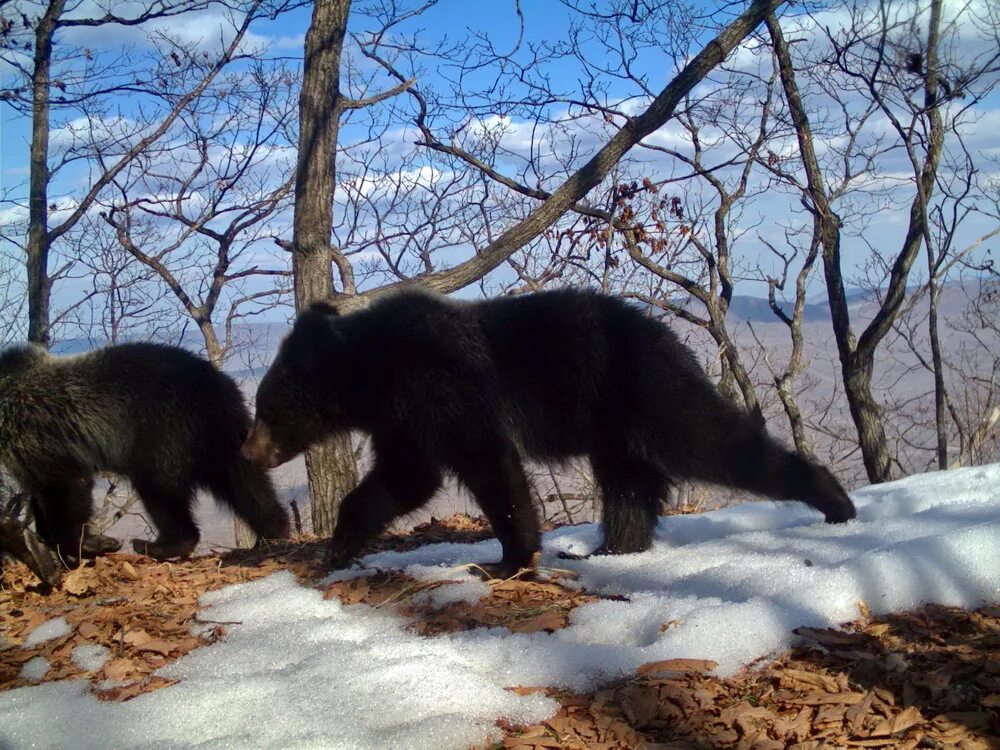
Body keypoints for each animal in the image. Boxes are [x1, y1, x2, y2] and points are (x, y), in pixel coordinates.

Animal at [0, 344, 290, 560]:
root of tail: (213, 381)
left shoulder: (38, 432)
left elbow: (66, 488)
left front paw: (88, 544)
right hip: (225, 432)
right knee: (245, 482)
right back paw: (272, 531)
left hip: (162, 431)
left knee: (159, 491)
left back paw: (155, 544)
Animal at [240, 290, 852, 580]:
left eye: (265, 409)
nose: (247, 450)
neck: (374, 369)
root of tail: (672, 338)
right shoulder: (402, 417)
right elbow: (405, 476)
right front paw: (338, 547)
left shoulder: (440, 384)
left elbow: (486, 463)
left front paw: (507, 559)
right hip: (615, 425)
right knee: (629, 485)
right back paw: (615, 547)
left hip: (644, 390)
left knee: (709, 439)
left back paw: (834, 500)